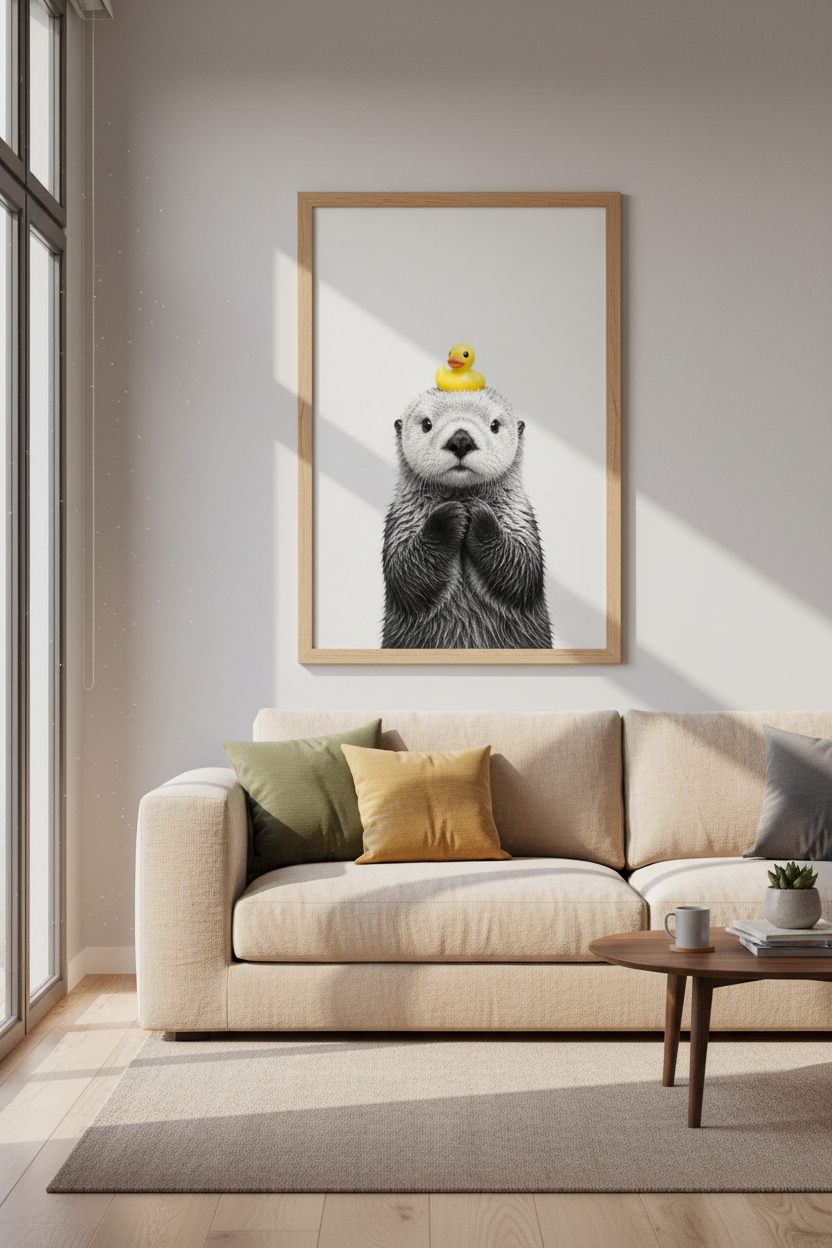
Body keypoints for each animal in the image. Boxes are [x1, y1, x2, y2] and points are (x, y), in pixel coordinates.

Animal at [381, 387, 552, 649]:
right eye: (427, 424)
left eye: (494, 425)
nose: (461, 440)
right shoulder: (402, 519)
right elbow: (405, 573)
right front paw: (451, 515)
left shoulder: (519, 517)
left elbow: (523, 570)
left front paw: (476, 512)